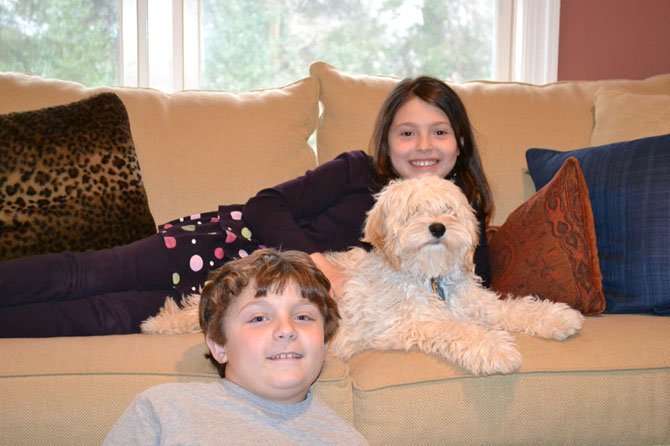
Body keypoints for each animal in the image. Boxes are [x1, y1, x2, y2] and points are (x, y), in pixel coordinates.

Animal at [328, 176, 584, 374]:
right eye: (414, 212)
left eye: (447, 210)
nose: (438, 227)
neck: (431, 276)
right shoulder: (405, 324)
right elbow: (456, 327)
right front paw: (496, 349)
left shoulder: (476, 301)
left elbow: (509, 308)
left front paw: (557, 317)